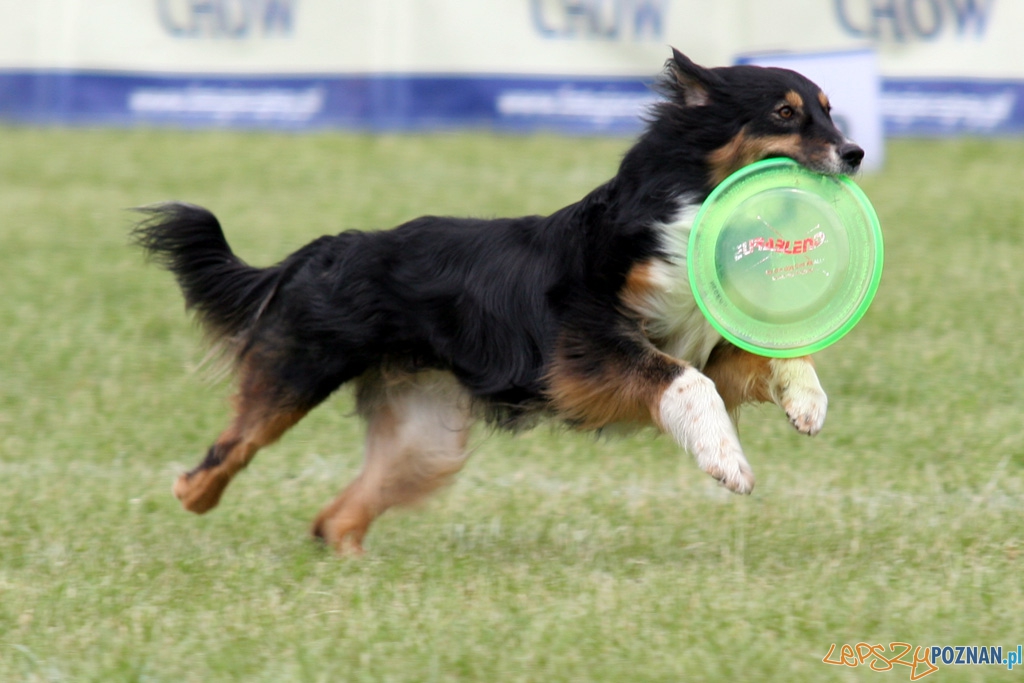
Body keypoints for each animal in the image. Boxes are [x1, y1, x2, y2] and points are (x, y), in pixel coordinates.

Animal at [132, 48, 860, 552]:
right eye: (786, 113)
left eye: (829, 107)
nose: (854, 152)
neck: (682, 211)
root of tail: (323, 247)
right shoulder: (586, 348)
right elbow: (687, 385)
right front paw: (727, 462)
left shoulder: (701, 344)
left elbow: (775, 357)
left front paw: (808, 404)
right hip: (297, 371)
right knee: (231, 448)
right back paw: (190, 494)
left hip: (424, 438)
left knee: (335, 516)